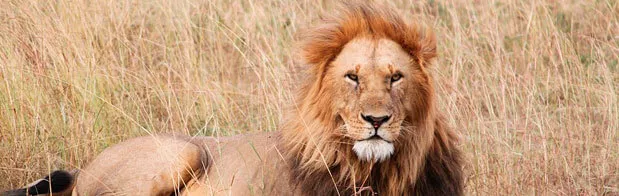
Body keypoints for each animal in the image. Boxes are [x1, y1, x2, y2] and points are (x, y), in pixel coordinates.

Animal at [2, 2, 462, 195]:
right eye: (353, 77)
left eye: (395, 78)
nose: (376, 121)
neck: (375, 171)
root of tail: (84, 168)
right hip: (178, 153)